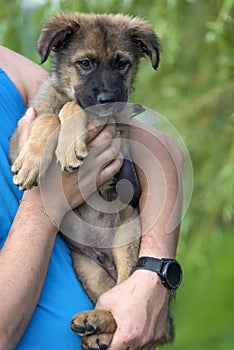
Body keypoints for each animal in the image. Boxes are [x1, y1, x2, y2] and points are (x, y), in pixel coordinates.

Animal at [10, 12, 174, 348]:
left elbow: (71, 108)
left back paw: (97, 321)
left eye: (122, 64)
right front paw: (32, 160)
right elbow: (51, 115)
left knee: (123, 297)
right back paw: (94, 329)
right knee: (108, 295)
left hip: (127, 237)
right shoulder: (16, 140)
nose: (108, 99)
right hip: (87, 268)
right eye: (85, 63)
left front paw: (69, 142)